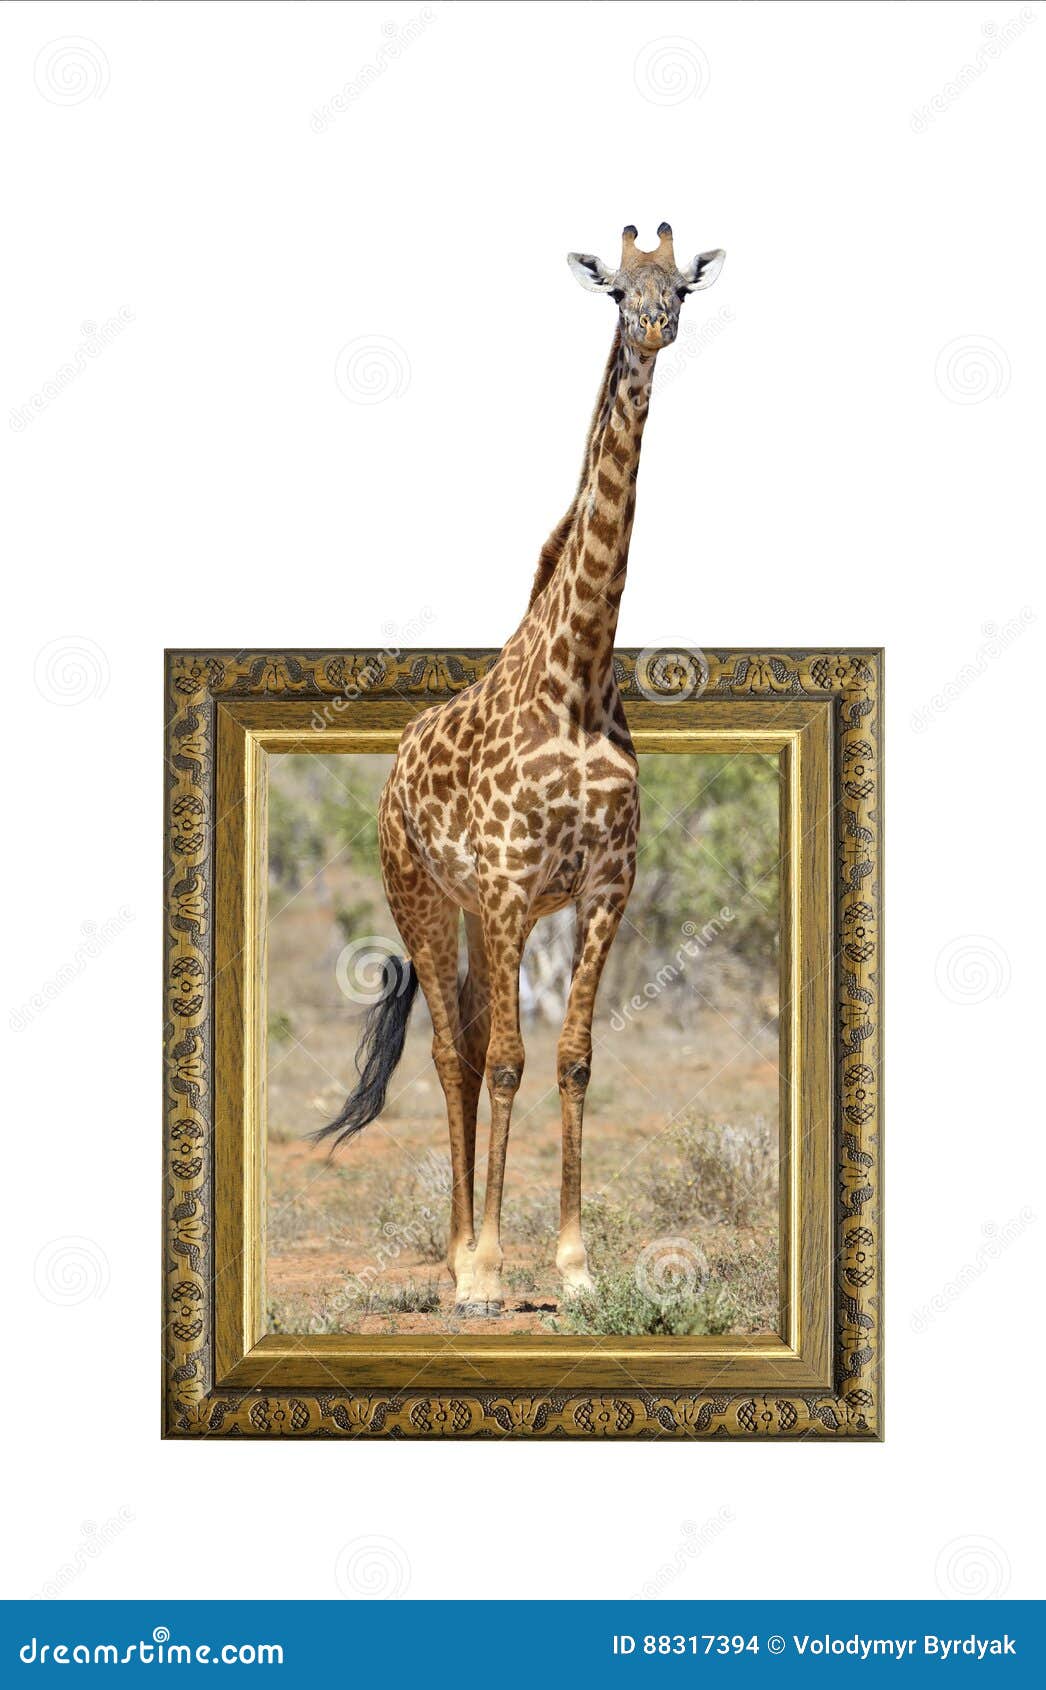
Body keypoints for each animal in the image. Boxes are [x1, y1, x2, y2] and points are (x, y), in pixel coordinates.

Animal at [315, 223, 725, 1314]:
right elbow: (504, 1060)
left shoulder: (602, 889)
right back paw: (460, 1264)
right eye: (617, 290)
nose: (654, 327)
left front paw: (575, 1268)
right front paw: (494, 1270)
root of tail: (392, 770)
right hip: (421, 894)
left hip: (468, 914)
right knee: (452, 1051)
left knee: (461, 1039)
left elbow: (575, 1058)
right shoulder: (506, 891)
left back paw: (465, 1253)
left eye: (680, 288)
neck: (577, 680)